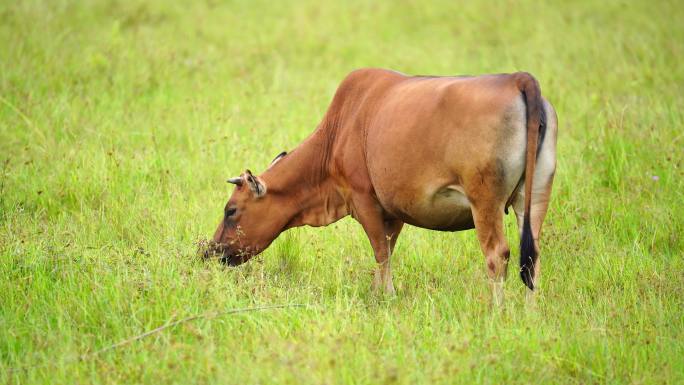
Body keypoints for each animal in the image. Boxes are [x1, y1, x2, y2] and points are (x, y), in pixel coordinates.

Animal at [207, 67, 556, 304]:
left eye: (231, 210)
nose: (209, 252)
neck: (339, 129)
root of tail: (517, 78)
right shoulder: (395, 209)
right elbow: (388, 248)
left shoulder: (364, 199)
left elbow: (380, 252)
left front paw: (384, 296)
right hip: (536, 196)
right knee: (532, 256)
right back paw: (529, 312)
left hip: (485, 201)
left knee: (498, 254)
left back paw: (497, 311)